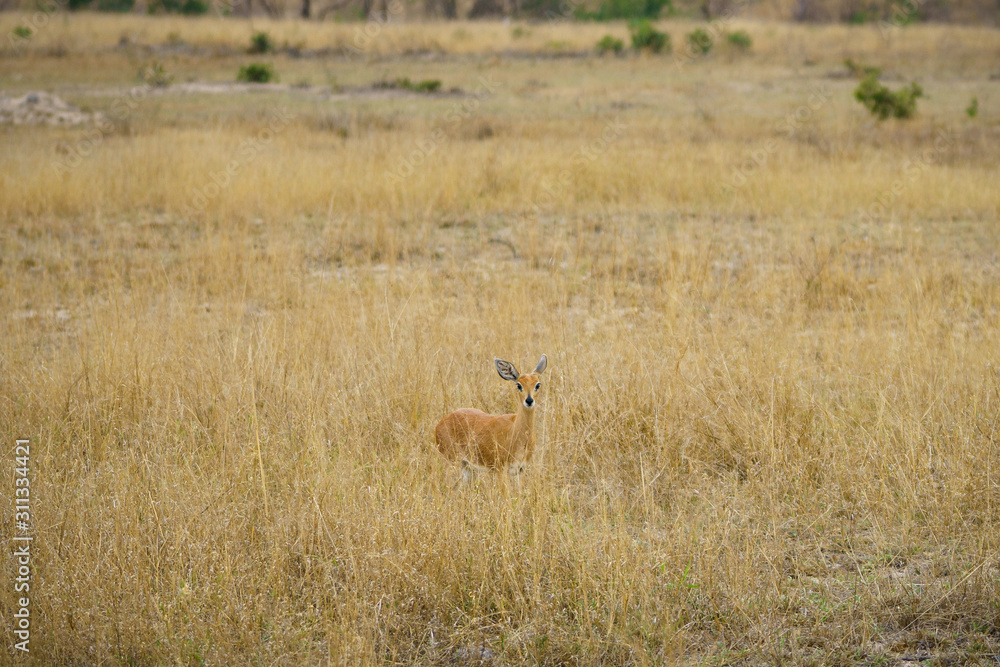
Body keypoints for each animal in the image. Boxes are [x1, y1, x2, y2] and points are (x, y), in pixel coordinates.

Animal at [436, 354, 552, 486]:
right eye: (519, 385)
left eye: (537, 384)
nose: (529, 400)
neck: (517, 432)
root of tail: (440, 424)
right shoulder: (500, 469)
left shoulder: (521, 470)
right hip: (451, 461)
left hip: (467, 467)